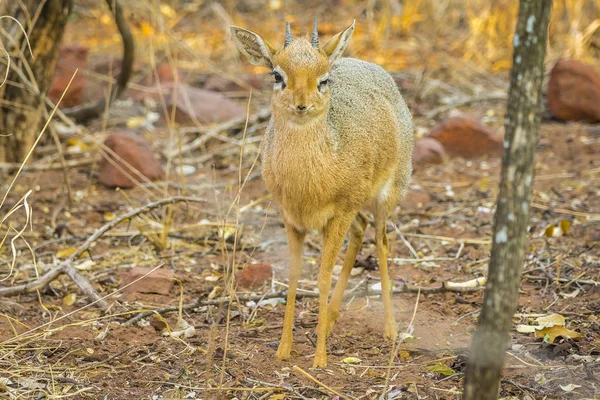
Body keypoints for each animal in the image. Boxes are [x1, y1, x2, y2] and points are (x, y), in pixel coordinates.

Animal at [232, 15, 414, 368]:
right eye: (277, 75)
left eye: (323, 79)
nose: (301, 105)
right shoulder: (291, 219)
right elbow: (293, 277)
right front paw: (283, 349)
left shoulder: (339, 213)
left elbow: (322, 278)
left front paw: (319, 359)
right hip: (356, 211)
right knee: (361, 229)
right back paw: (328, 322)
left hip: (385, 199)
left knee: (382, 241)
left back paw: (390, 329)